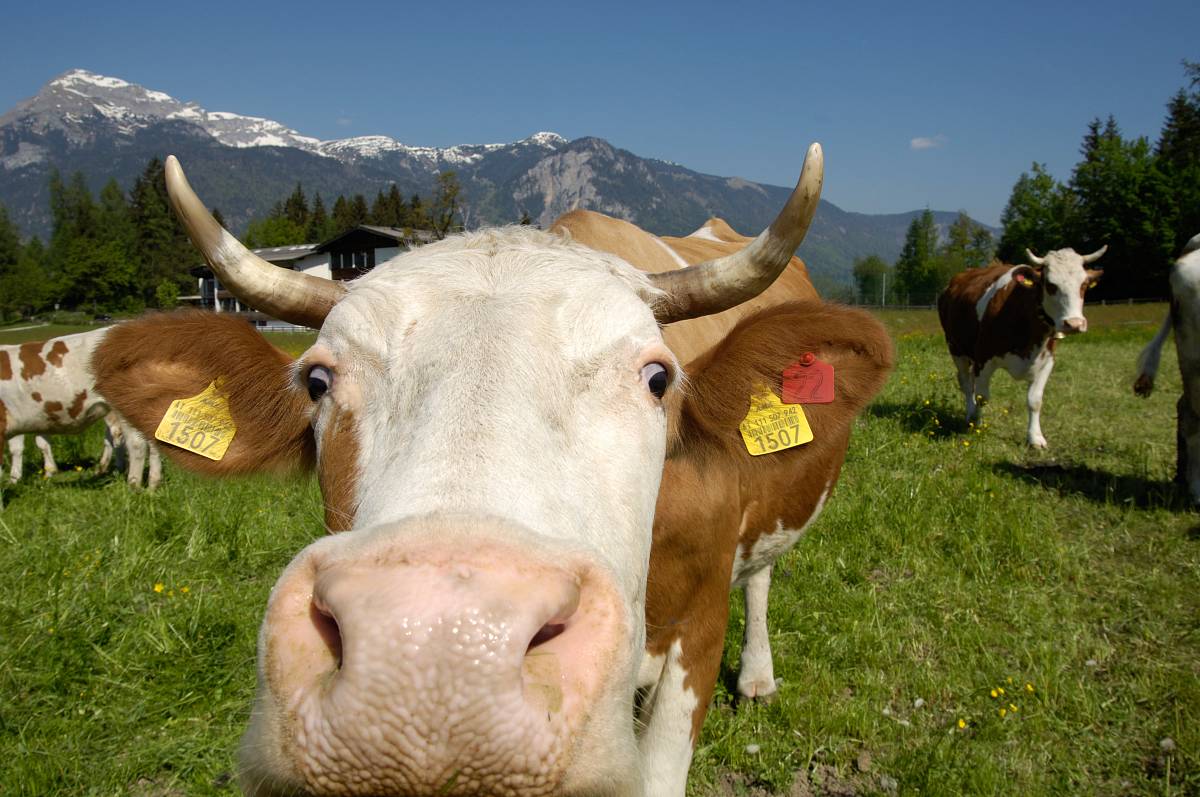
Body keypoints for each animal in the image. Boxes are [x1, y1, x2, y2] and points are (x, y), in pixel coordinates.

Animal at [936, 246, 1104, 448]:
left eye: (1084, 284)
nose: (1074, 323)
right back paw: (970, 414)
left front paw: (1035, 438)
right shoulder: (983, 360)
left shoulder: (1047, 361)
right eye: (1050, 285)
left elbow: (1035, 400)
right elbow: (983, 397)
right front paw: (978, 425)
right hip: (956, 349)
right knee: (966, 384)